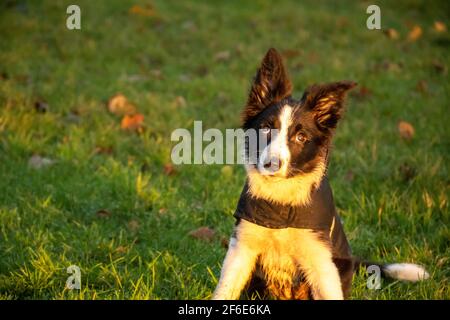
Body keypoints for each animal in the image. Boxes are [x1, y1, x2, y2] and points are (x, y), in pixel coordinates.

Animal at [214, 48, 428, 300]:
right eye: (266, 128)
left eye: (301, 137)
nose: (271, 164)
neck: (281, 203)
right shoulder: (242, 246)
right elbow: (226, 288)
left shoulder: (319, 256)